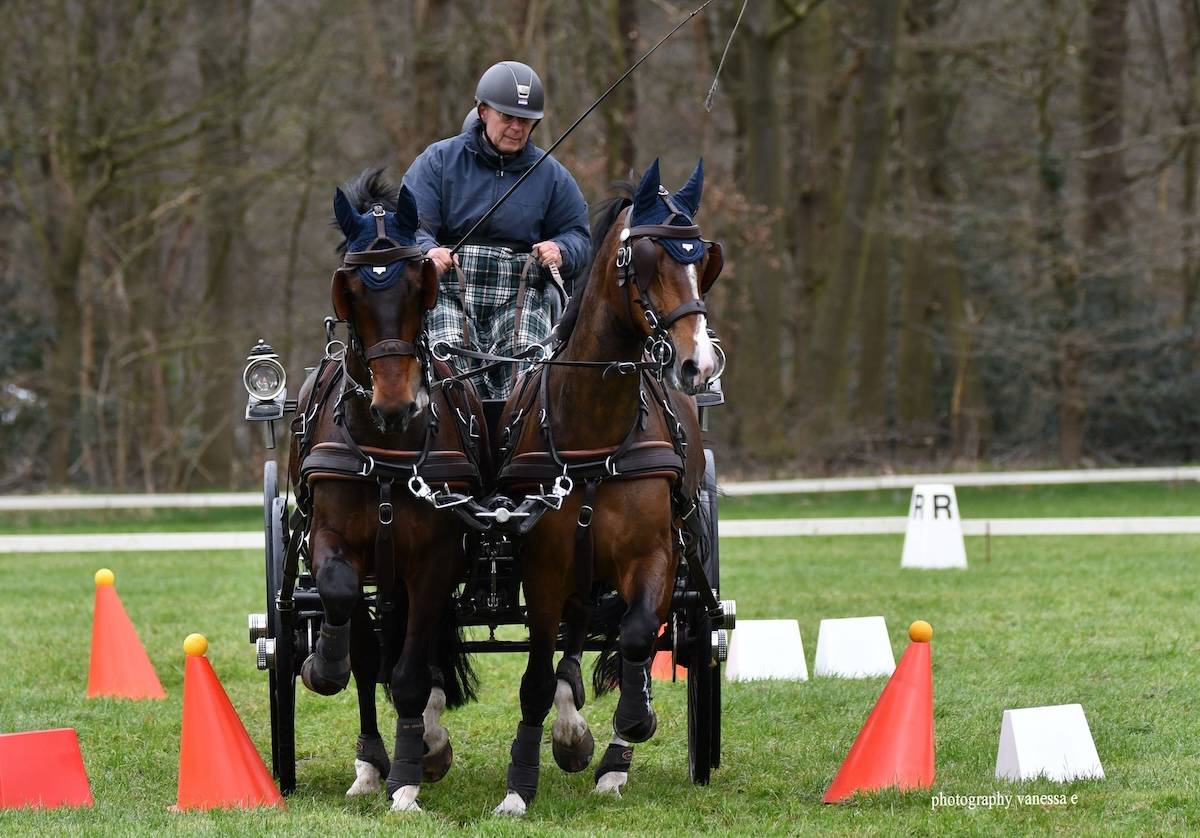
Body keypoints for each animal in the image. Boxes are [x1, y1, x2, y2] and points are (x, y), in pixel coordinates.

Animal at [284, 169, 482, 811]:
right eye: (348, 290)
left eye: (421, 284)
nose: (397, 405)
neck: (387, 449)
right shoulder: (330, 537)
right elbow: (342, 601)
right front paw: (322, 666)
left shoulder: (437, 559)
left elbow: (412, 672)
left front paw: (409, 779)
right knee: (370, 652)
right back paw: (369, 762)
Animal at [487, 159, 720, 811]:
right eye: (642, 258)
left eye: (702, 260)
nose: (698, 365)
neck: (591, 431)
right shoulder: (541, 567)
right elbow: (537, 676)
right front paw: (520, 783)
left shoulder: (655, 555)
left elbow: (638, 638)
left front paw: (631, 728)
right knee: (571, 640)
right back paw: (570, 731)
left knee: (625, 632)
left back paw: (612, 754)